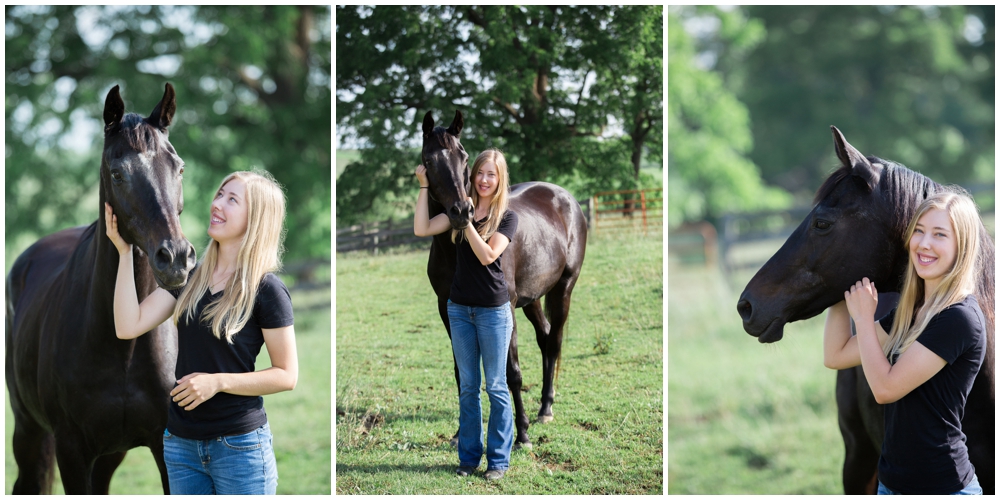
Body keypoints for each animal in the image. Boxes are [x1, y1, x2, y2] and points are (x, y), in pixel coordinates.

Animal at [5, 84, 196, 494]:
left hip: (110, 453)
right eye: (117, 173)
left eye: (179, 167)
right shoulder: (71, 449)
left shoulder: (166, 446)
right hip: (29, 431)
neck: (122, 342)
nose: (175, 258)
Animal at [420, 111, 588, 448]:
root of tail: (566, 198)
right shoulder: (447, 308)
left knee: (555, 340)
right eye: (429, 160)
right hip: (531, 298)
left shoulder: (504, 307)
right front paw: (460, 433)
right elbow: (463, 372)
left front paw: (521, 432)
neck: (455, 250)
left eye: (464, 157)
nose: (462, 211)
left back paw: (545, 409)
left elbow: (511, 372)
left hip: (562, 289)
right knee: (545, 336)